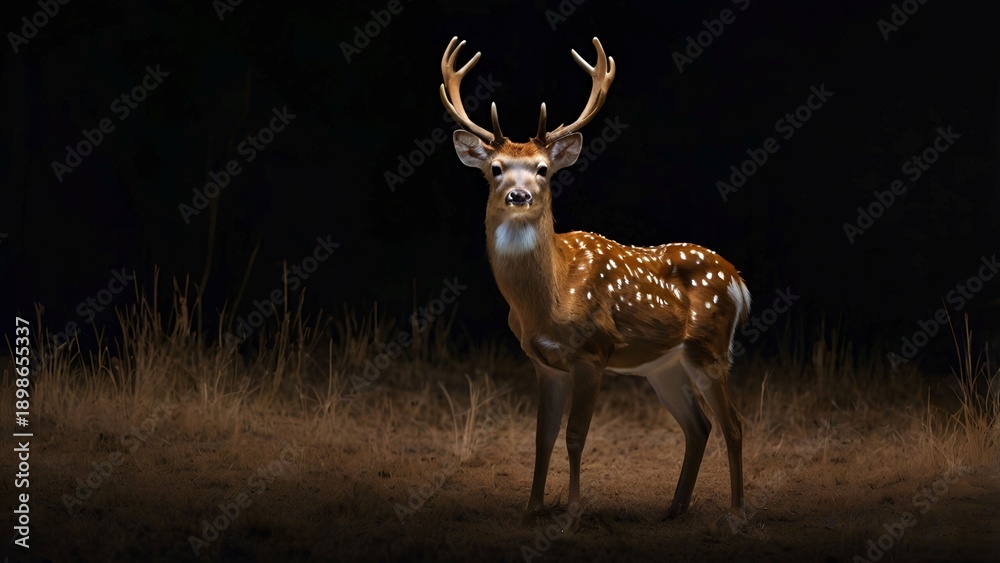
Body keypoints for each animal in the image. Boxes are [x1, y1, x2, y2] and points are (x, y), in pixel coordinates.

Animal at [439, 36, 750, 530]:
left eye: (543, 169)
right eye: (496, 168)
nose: (518, 195)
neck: (550, 295)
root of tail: (738, 280)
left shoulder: (593, 351)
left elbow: (575, 436)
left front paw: (570, 513)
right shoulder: (544, 362)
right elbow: (541, 437)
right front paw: (532, 508)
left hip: (710, 349)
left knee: (733, 425)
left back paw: (736, 514)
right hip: (665, 365)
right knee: (698, 426)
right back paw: (673, 509)